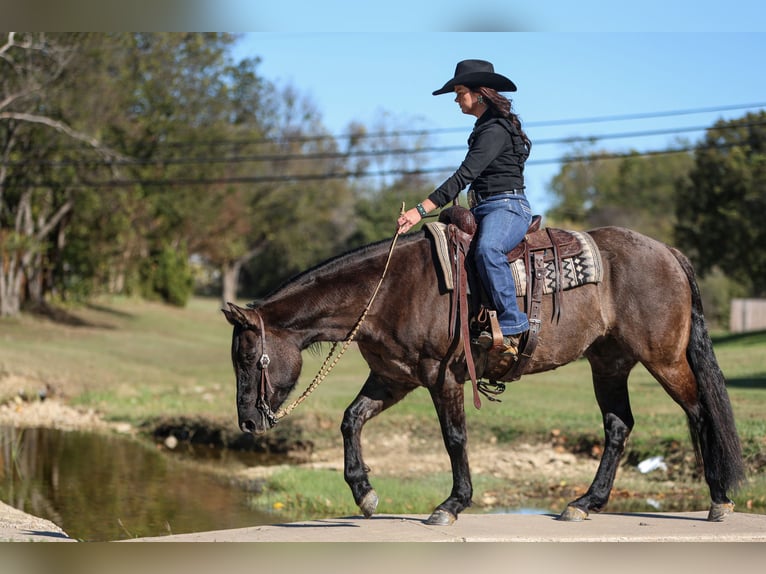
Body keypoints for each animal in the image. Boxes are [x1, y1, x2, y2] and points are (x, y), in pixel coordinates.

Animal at [220, 224, 744, 528]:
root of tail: (668, 252)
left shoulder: (442, 377)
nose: (246, 422)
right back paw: (585, 503)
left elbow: (454, 438)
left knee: (699, 413)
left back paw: (719, 499)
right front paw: (365, 495)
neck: (390, 290)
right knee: (618, 427)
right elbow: (351, 420)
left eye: (247, 357)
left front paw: (452, 505)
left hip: (665, 359)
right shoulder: (394, 379)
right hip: (608, 363)